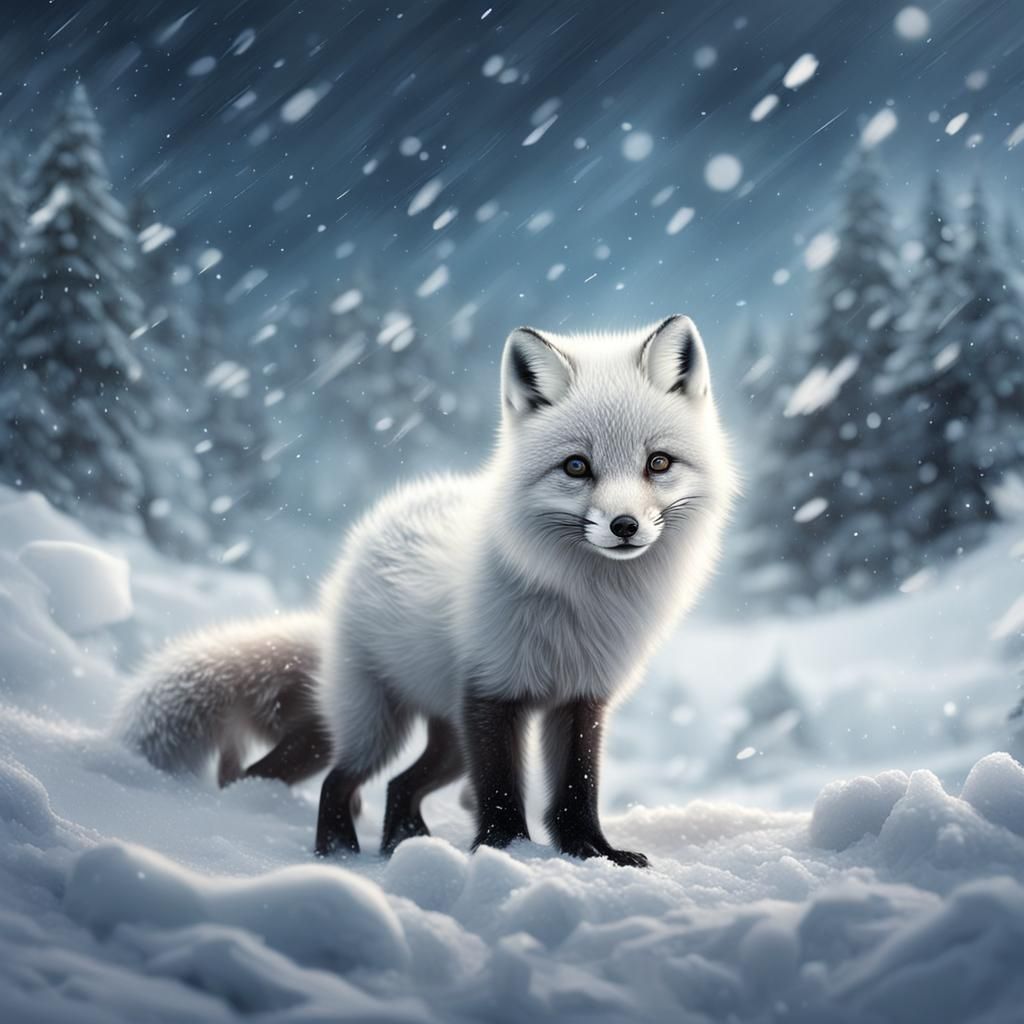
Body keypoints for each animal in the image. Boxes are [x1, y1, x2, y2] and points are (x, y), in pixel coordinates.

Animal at [118, 315, 735, 867]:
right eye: (577, 467)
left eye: (658, 462)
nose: (624, 526)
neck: (582, 601)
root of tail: (383, 518)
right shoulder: (491, 692)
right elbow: (502, 790)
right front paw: (506, 851)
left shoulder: (582, 699)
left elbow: (577, 791)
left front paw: (593, 853)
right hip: (379, 726)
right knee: (331, 779)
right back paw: (337, 853)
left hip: (447, 742)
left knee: (398, 785)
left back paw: (401, 845)